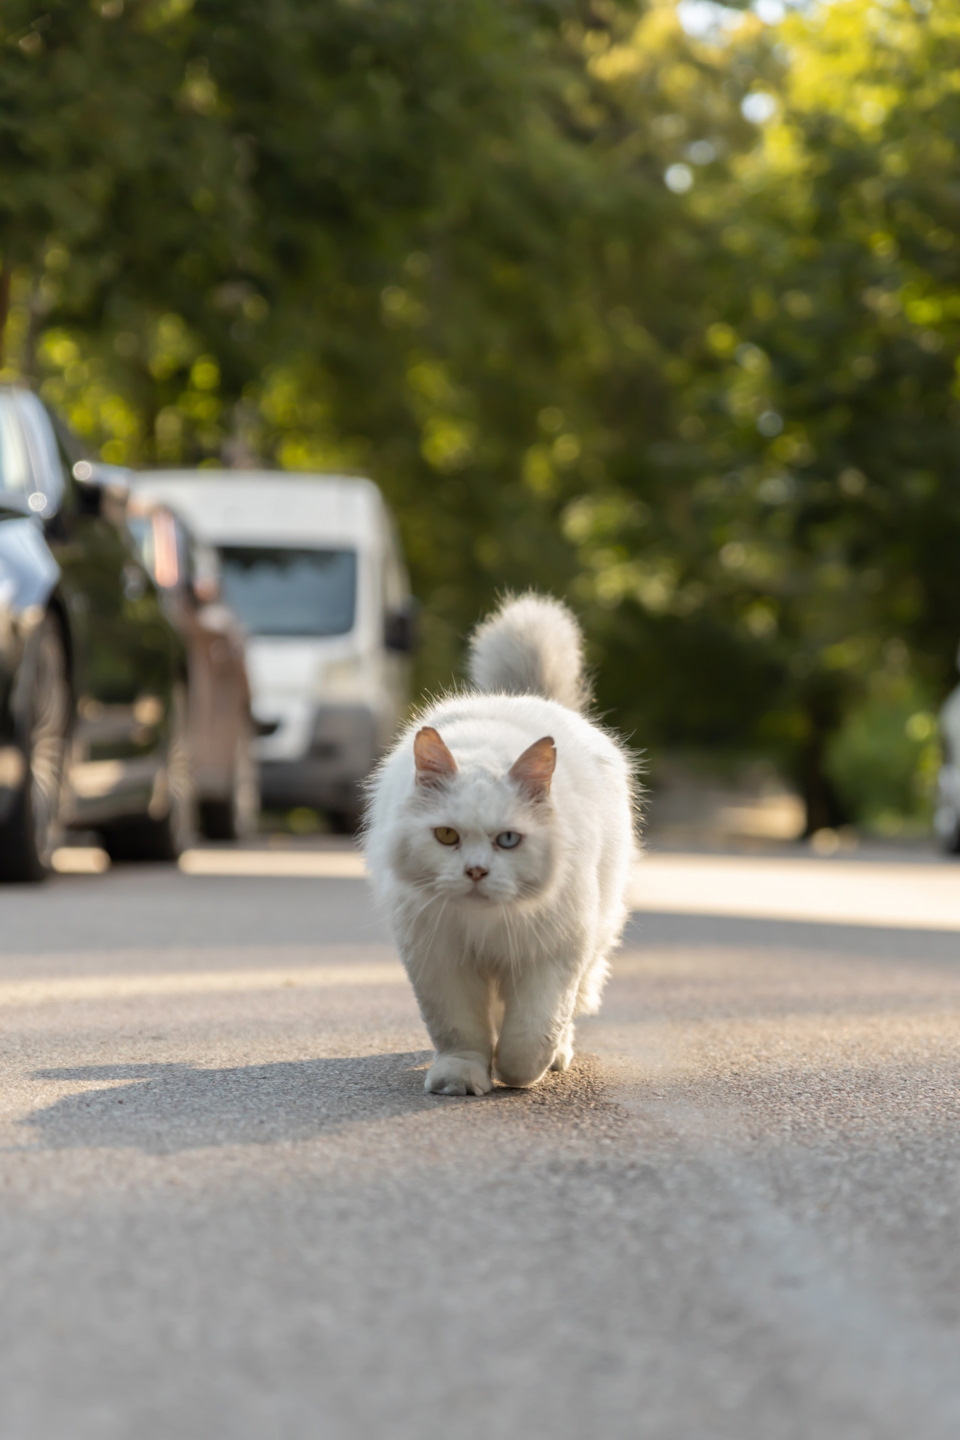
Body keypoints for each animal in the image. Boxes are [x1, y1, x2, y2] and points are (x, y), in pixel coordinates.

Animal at [364, 590, 641, 1094]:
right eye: (447, 836)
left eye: (508, 839)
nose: (475, 872)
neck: (485, 925)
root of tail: (530, 697)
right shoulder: (440, 960)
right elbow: (459, 1032)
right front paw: (461, 1079)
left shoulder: (553, 953)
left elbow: (532, 1033)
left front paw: (517, 1074)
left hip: (597, 934)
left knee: (569, 1012)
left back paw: (560, 1057)